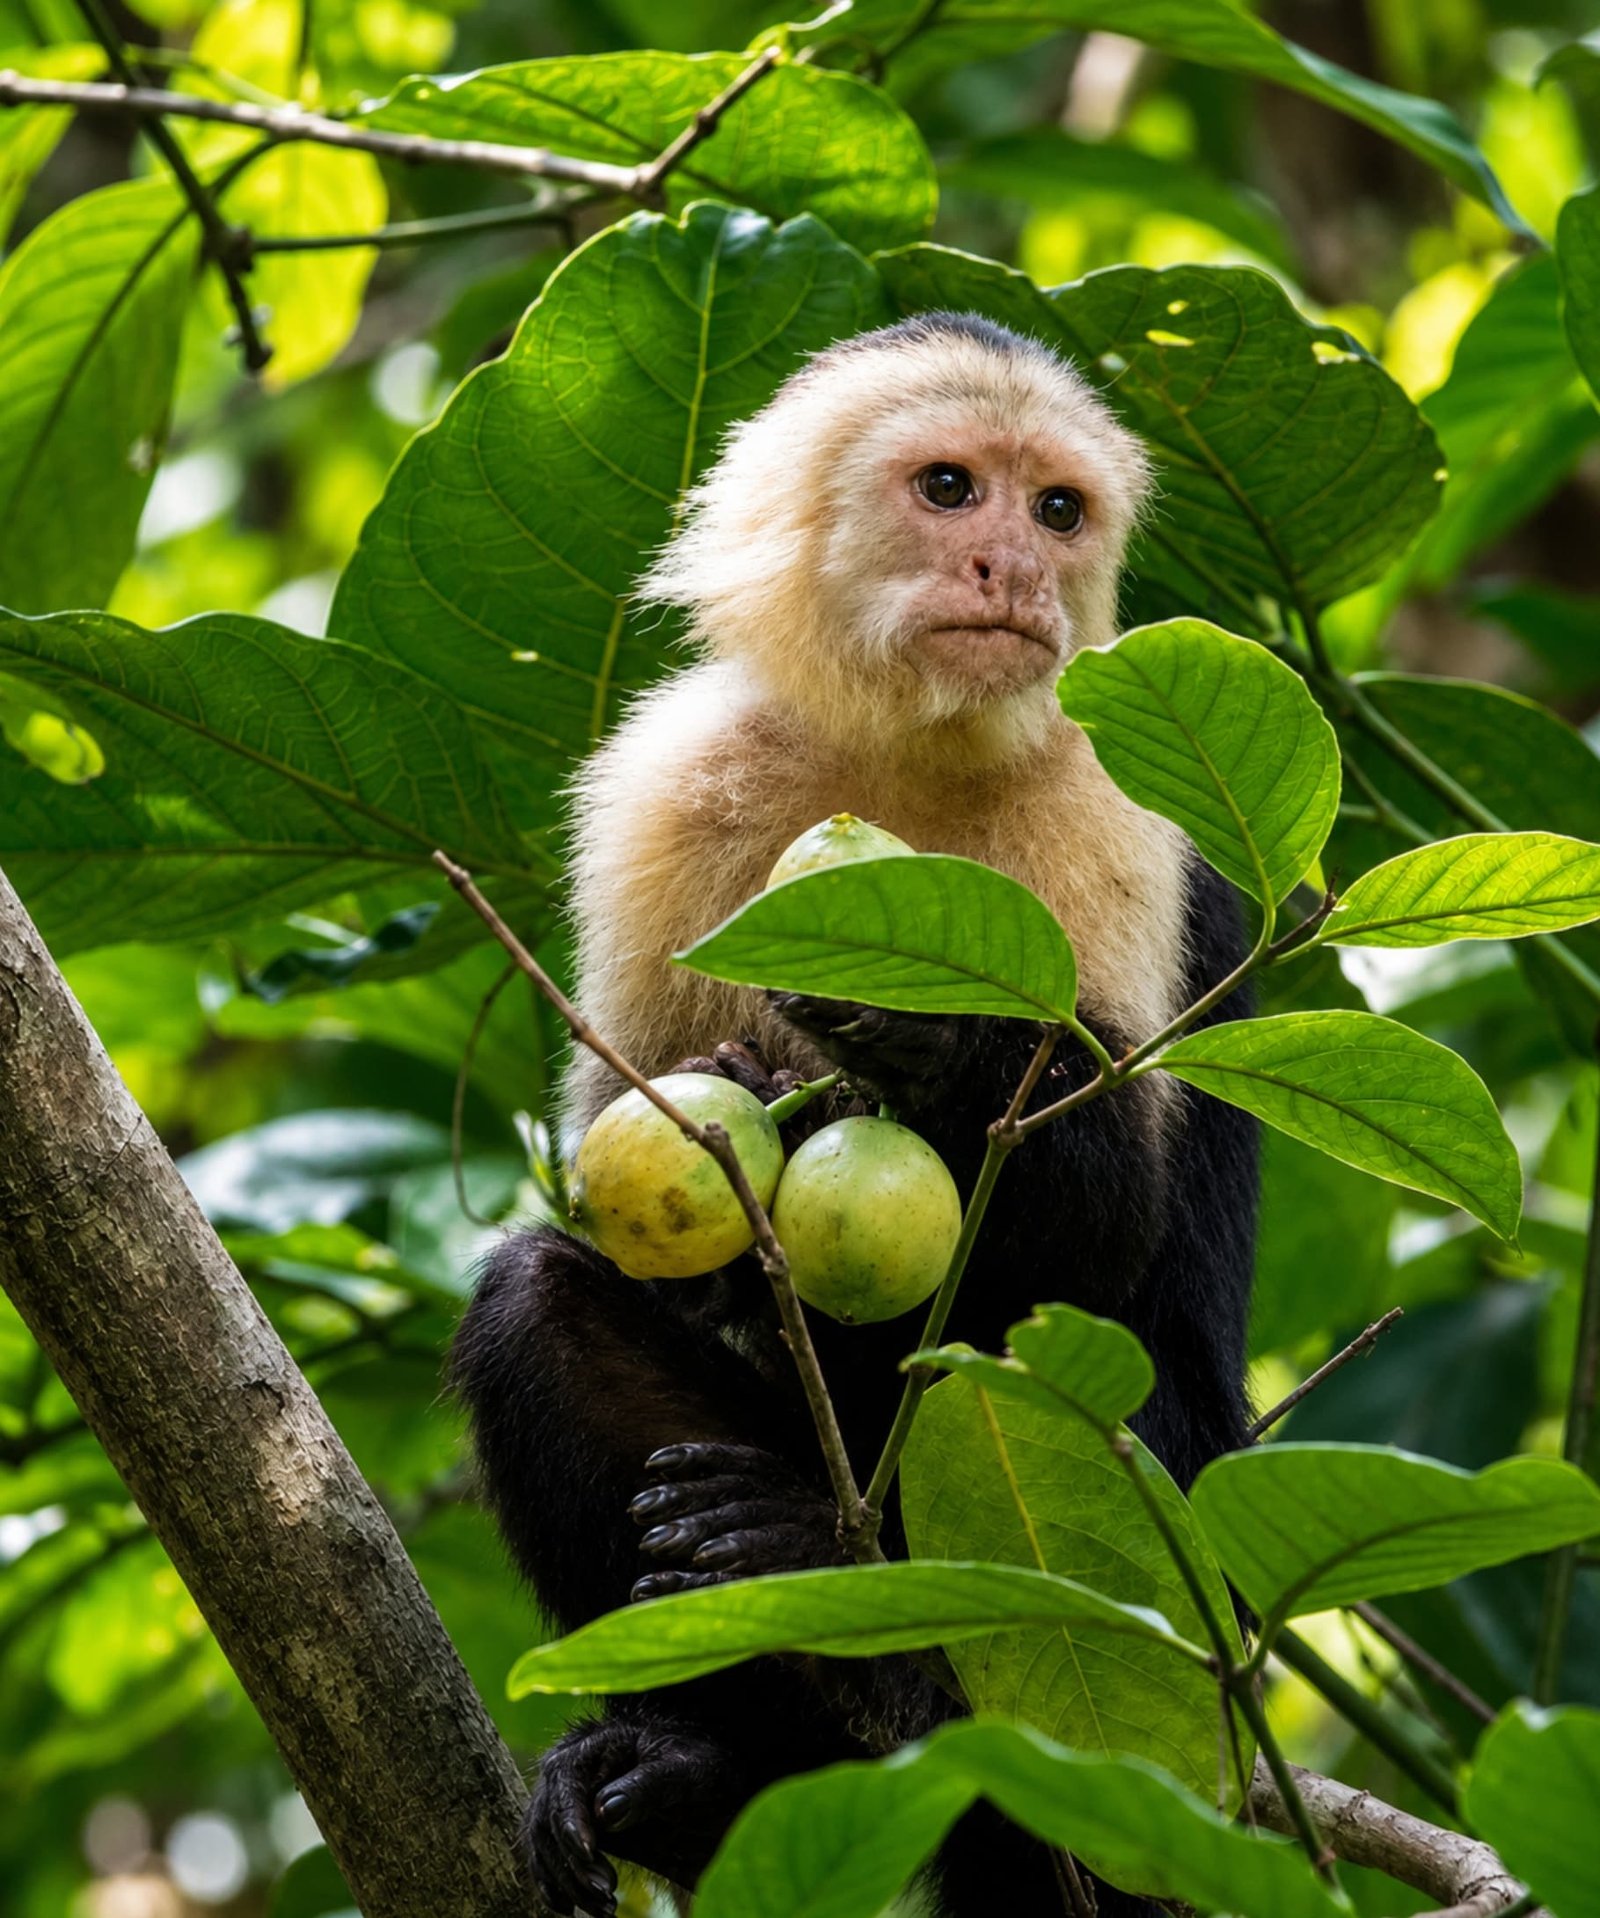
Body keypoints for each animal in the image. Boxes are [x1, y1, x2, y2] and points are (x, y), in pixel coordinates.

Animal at [451, 312, 1259, 1917]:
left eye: (1057, 510)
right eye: (951, 489)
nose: (1011, 567)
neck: (906, 757)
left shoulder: (1108, 792)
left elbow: (1098, 1236)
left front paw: (925, 1038)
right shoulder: (667, 785)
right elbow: (621, 1157)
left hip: (1188, 1589)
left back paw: (884, 1642)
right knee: (537, 1305)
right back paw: (718, 1750)